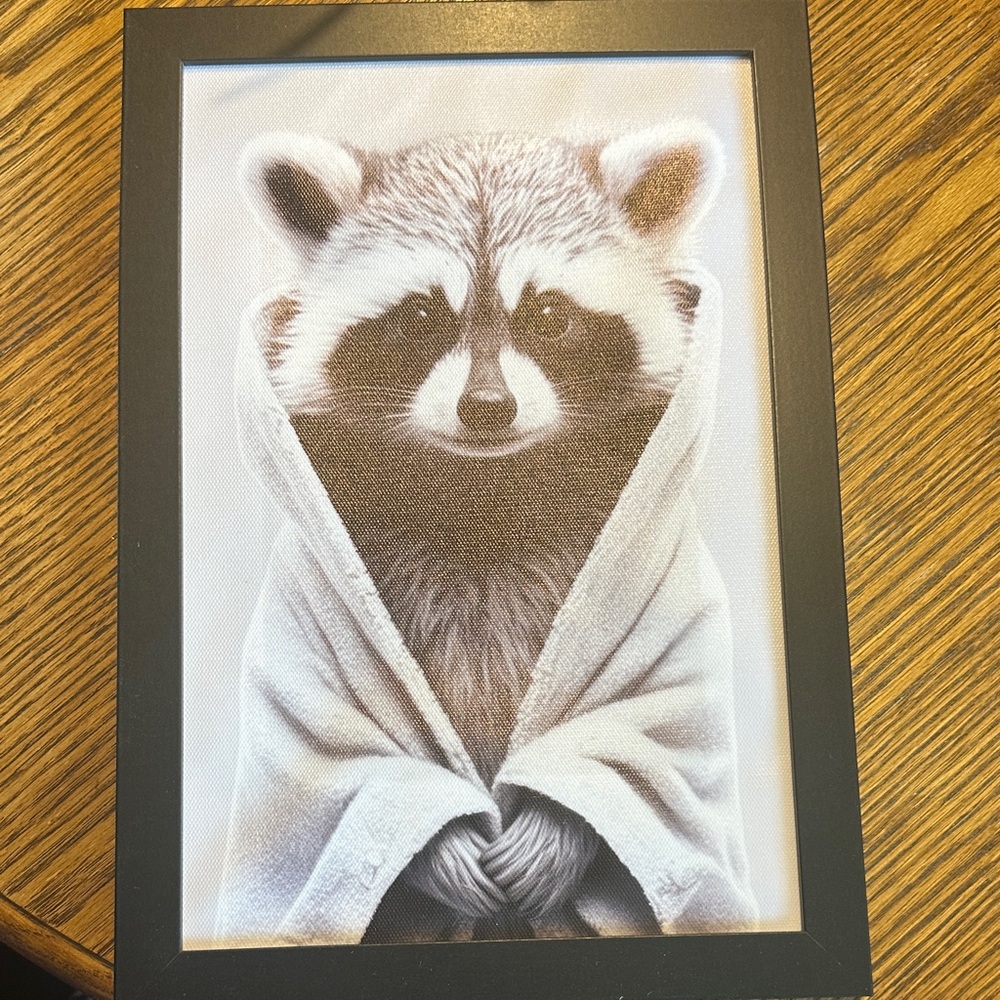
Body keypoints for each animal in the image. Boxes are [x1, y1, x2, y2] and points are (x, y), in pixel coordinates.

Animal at [241, 125, 722, 933]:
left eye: (550, 315)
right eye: (422, 316)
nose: (488, 408)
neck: (483, 487)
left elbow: (647, 721)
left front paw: (560, 829)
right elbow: (339, 750)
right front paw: (440, 849)